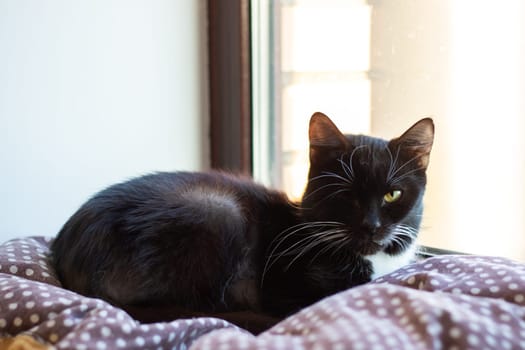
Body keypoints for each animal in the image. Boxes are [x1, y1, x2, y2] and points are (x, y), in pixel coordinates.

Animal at [50, 113, 434, 334]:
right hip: (217, 212)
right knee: (204, 308)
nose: (371, 225)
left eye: (392, 195)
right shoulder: (282, 284)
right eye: (346, 195)